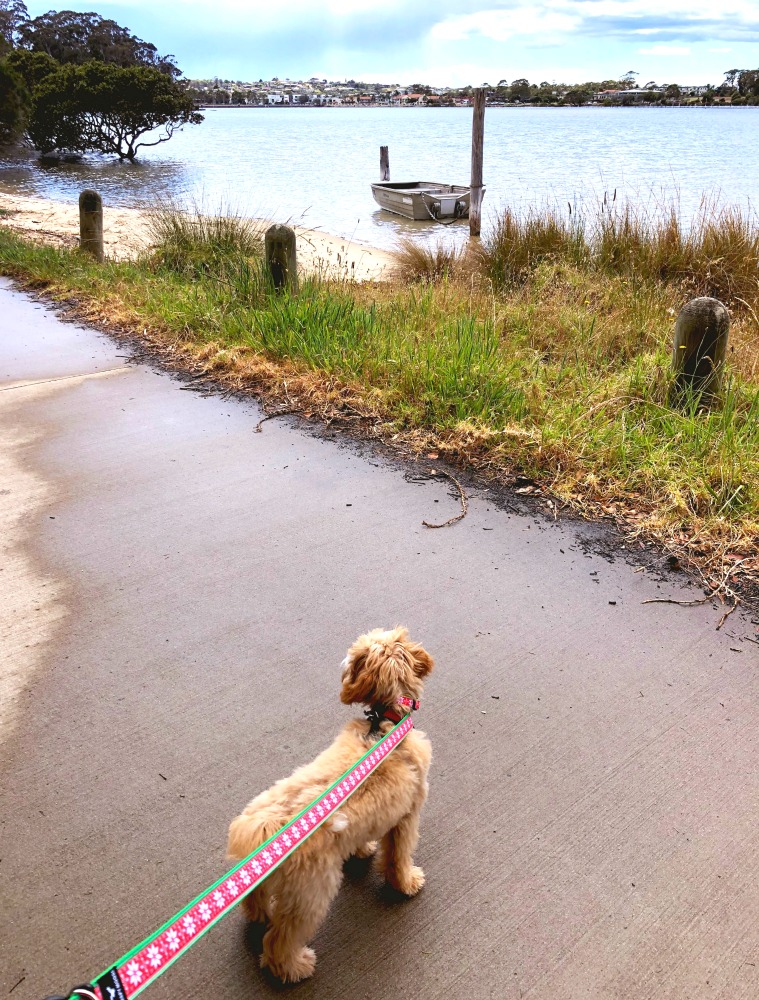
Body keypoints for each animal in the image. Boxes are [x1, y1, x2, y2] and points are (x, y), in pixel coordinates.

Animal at [226, 628, 434, 980]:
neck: (384, 725)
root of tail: (266, 828)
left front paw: (363, 850)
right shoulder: (407, 816)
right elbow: (399, 856)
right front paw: (406, 883)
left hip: (266, 886)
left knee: (256, 905)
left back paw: (263, 915)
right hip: (312, 894)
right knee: (280, 941)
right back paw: (294, 967)